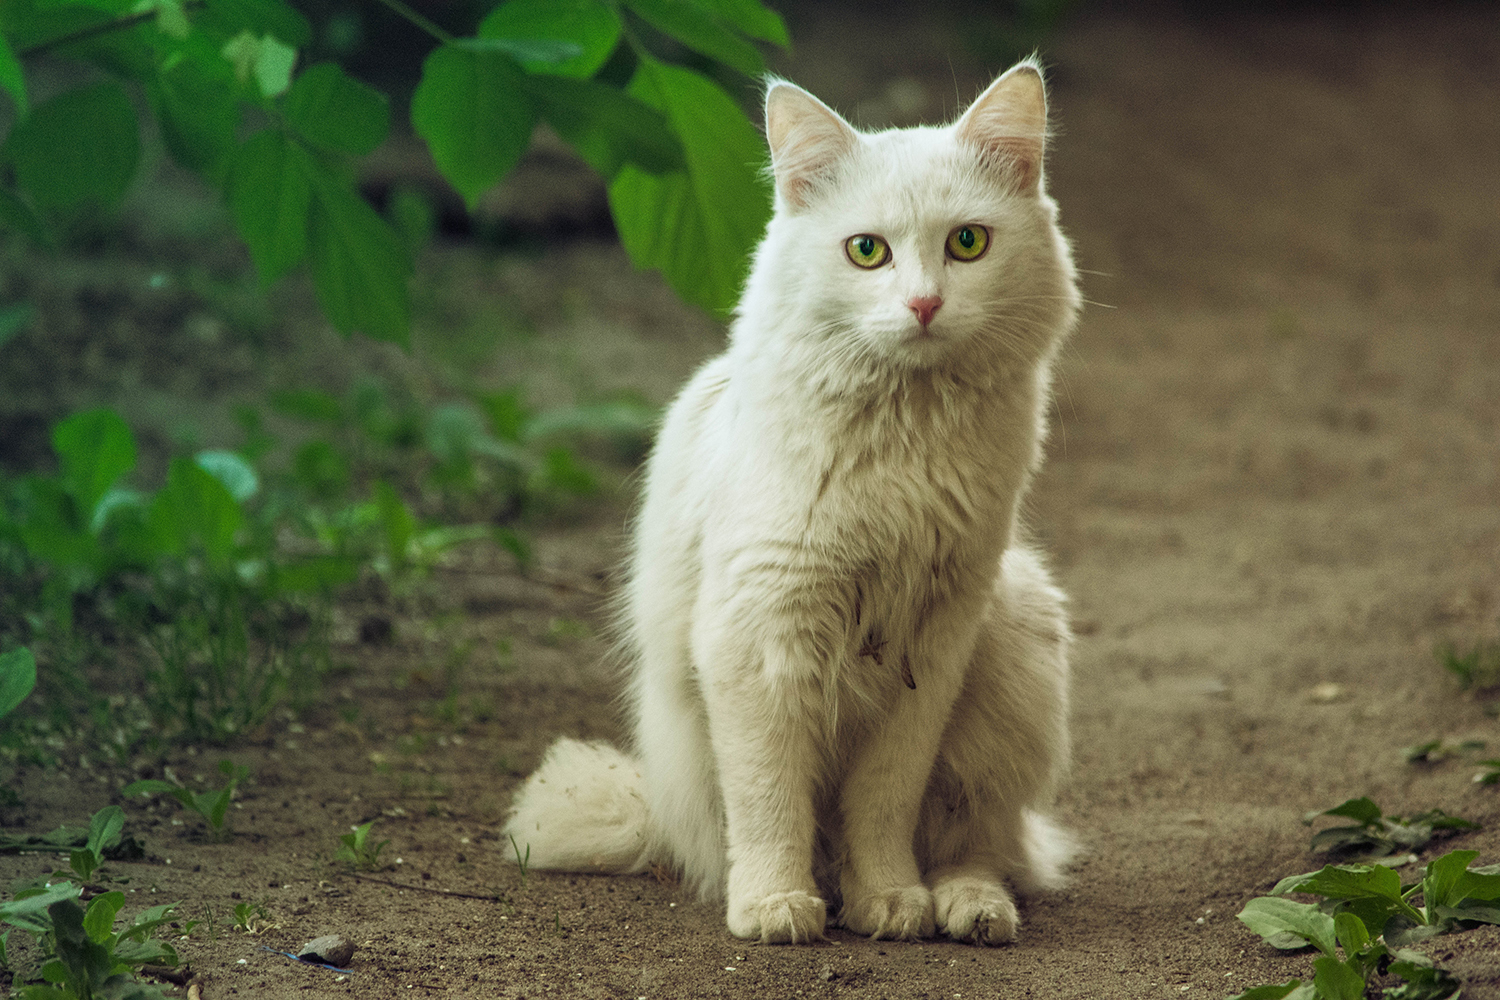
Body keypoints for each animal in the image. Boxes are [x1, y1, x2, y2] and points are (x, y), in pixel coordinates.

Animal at [504, 58, 1080, 953]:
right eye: (867, 252)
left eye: (968, 243)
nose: (924, 306)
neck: (904, 438)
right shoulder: (758, 637)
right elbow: (773, 801)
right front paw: (776, 907)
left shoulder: (933, 649)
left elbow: (883, 804)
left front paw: (890, 902)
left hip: (1014, 647)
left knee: (981, 846)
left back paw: (969, 910)